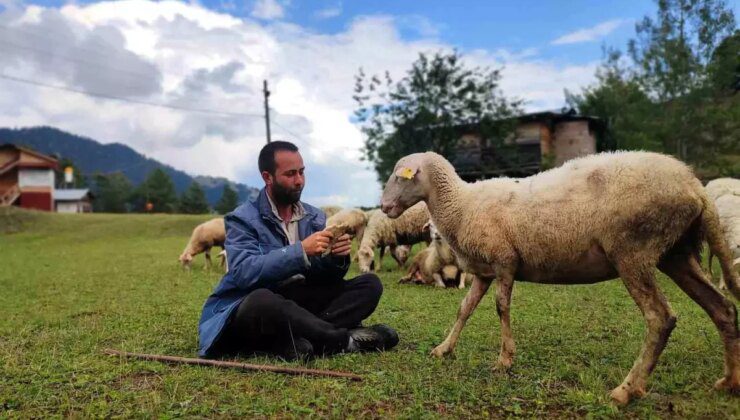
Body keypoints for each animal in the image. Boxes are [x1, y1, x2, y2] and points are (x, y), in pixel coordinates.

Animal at [382, 150, 740, 404]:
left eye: (401, 177)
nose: (383, 207)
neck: (460, 203)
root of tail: (695, 186)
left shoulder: (505, 261)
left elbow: (501, 307)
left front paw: (505, 360)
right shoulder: (484, 271)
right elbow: (464, 309)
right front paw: (444, 348)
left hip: (633, 252)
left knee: (660, 318)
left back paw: (626, 390)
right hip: (676, 254)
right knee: (722, 308)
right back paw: (730, 381)